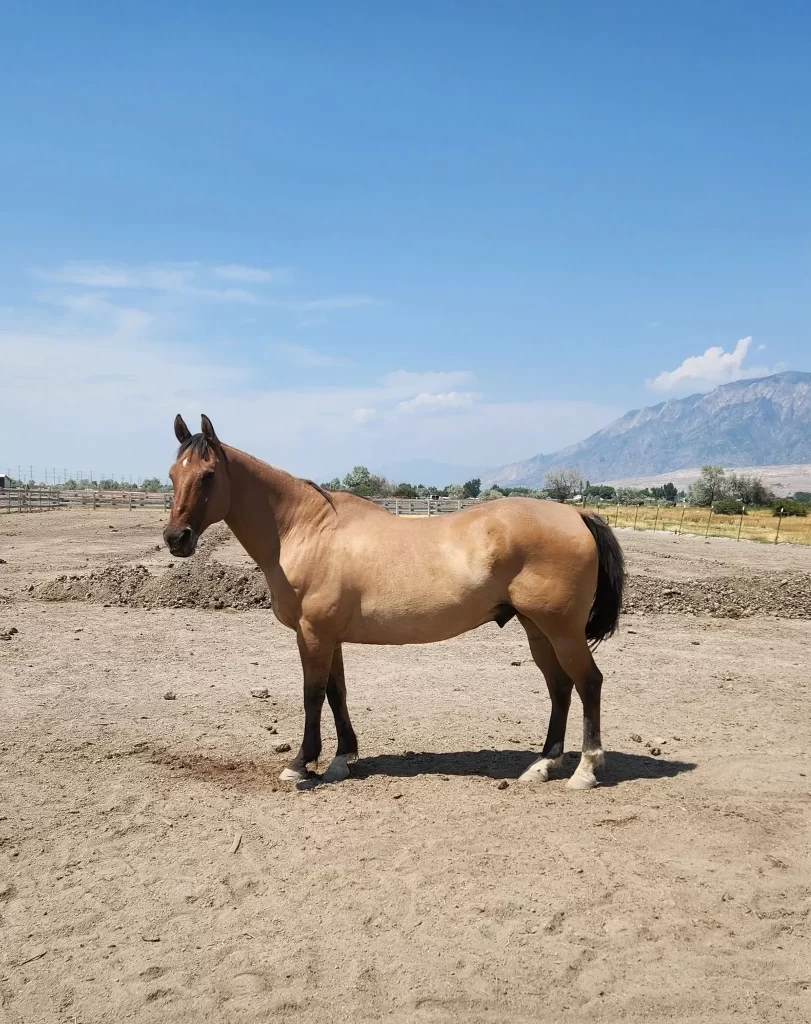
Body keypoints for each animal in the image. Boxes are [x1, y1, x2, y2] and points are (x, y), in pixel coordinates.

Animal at [164, 414, 624, 790]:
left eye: (208, 475)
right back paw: (542, 766)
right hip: (537, 629)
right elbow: (337, 693)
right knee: (560, 686)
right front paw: (342, 759)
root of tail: (575, 515)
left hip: (562, 630)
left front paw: (300, 763)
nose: (175, 539)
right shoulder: (329, 637)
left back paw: (585, 770)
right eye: (171, 474)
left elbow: (313, 695)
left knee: (588, 682)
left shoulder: (312, 635)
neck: (305, 530)